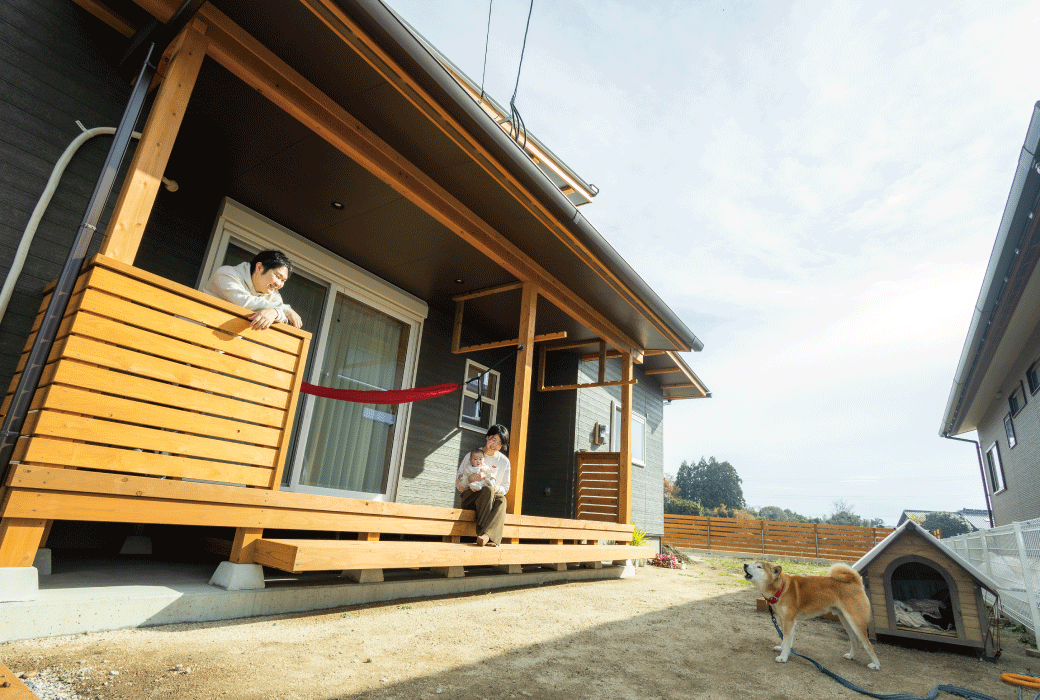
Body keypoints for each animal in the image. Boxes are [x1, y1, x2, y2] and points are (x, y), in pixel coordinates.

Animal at [744, 561, 881, 669]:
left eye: (759, 567)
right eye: (752, 562)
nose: (745, 564)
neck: (781, 588)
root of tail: (855, 581)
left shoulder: (789, 620)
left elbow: (787, 639)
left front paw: (783, 657)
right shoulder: (784, 620)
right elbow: (786, 638)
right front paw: (783, 649)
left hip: (856, 621)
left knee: (867, 644)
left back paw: (876, 664)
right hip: (845, 619)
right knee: (855, 640)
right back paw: (852, 656)